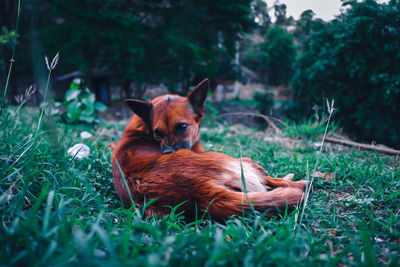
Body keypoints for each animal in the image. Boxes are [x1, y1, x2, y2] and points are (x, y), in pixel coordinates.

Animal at [111, 78, 304, 221]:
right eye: (157, 133)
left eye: (181, 127)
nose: (166, 153)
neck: (141, 128)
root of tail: (199, 191)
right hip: (225, 159)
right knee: (276, 181)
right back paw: (297, 181)